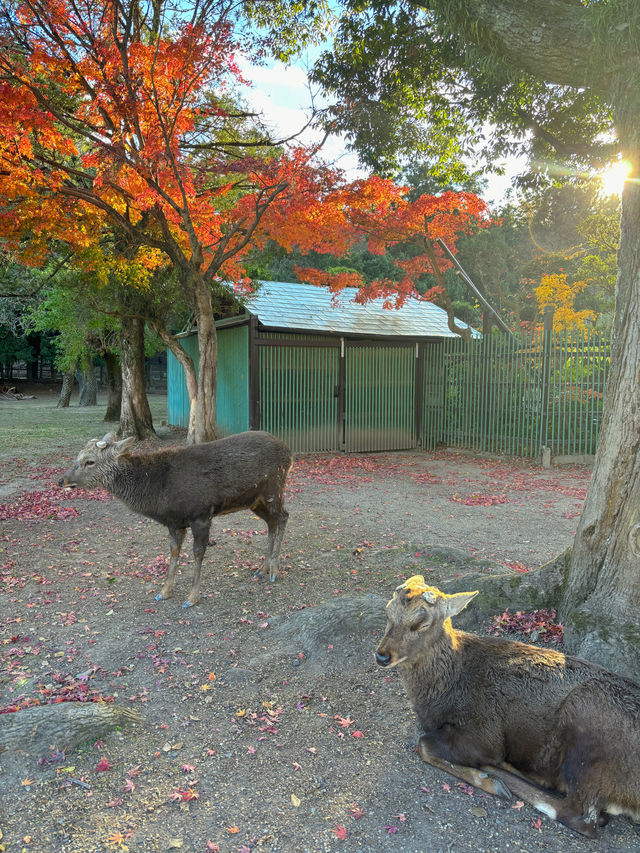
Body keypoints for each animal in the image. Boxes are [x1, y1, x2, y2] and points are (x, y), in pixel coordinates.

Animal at [60, 430, 292, 604]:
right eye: (77, 457)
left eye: (90, 461)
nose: (62, 480)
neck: (159, 494)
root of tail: (288, 451)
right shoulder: (174, 523)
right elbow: (173, 552)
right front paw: (164, 592)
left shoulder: (201, 514)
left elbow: (197, 553)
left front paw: (192, 597)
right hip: (255, 500)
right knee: (271, 522)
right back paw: (262, 569)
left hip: (274, 487)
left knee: (283, 517)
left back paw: (274, 570)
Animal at [376, 576, 640, 836]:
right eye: (388, 612)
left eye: (422, 623)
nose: (381, 656)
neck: (441, 695)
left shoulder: (484, 730)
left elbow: (424, 745)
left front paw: (487, 778)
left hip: (588, 730)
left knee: (583, 817)